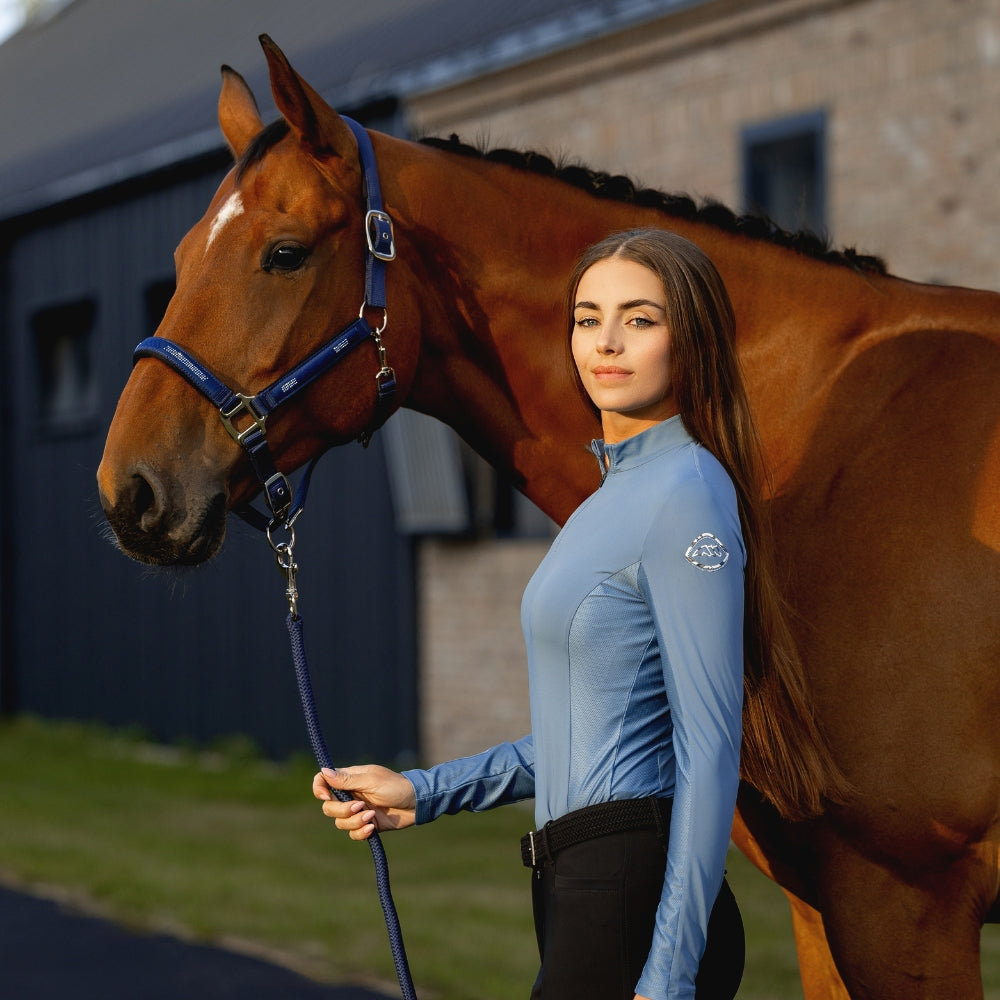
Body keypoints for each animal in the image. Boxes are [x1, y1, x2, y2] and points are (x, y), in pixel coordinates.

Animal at [97, 35, 1000, 1000]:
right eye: (182, 256)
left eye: (287, 253)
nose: (130, 491)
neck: (819, 446)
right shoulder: (821, 908)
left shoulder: (901, 903)